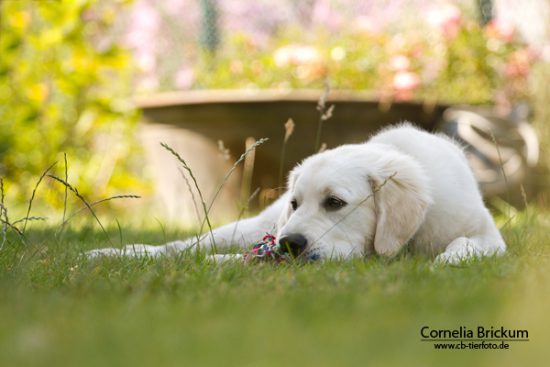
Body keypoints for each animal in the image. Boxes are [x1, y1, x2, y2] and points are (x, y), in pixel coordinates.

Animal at [89, 124, 508, 264]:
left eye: (335, 203)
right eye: (296, 203)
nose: (289, 244)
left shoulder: (487, 234)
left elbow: (464, 244)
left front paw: (449, 260)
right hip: (252, 226)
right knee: (185, 246)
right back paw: (115, 254)